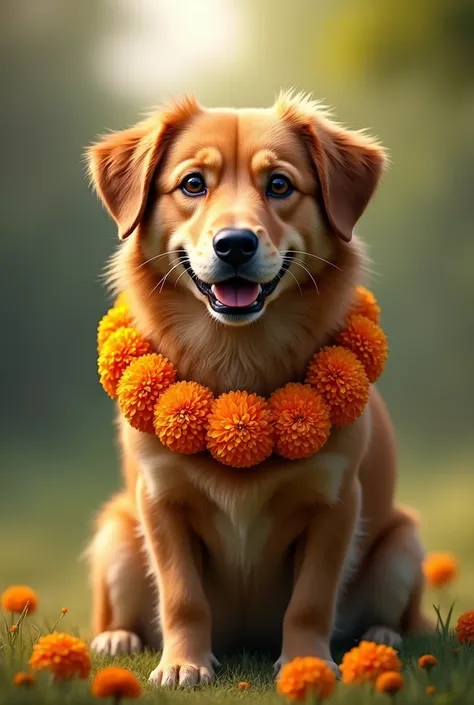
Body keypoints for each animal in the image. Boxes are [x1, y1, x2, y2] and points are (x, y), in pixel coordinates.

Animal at [86, 91, 434, 684]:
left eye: (279, 185)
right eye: (192, 184)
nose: (235, 244)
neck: (238, 363)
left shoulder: (336, 502)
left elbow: (311, 601)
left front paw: (306, 662)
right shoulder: (160, 501)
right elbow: (181, 596)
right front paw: (183, 664)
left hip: (402, 543)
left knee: (399, 614)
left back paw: (383, 636)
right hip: (115, 534)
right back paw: (116, 638)